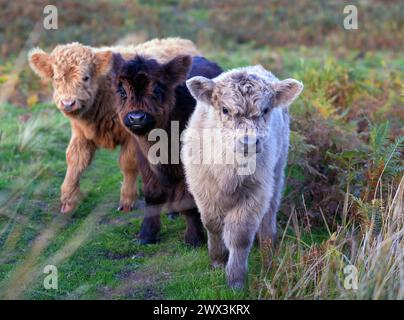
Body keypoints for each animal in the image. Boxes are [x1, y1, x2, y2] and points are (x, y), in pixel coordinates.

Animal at [182, 66, 304, 288]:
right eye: (225, 109)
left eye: (265, 110)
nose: (248, 142)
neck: (229, 175)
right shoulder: (202, 188)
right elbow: (212, 224)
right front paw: (217, 260)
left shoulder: (255, 193)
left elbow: (240, 236)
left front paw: (235, 279)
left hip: (277, 171)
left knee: (270, 210)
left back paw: (268, 246)